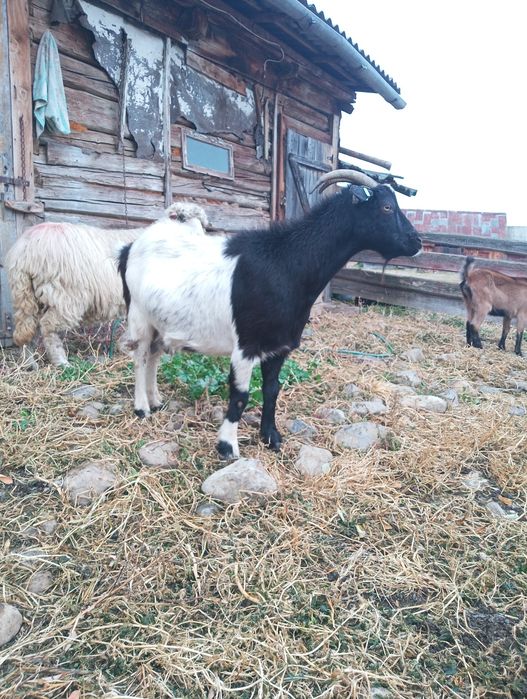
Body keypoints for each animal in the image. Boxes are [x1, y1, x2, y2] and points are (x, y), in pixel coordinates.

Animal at [5, 202, 208, 366]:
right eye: (182, 218)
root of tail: (26, 249)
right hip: (65, 296)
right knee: (49, 329)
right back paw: (62, 363)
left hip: (26, 293)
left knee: (27, 327)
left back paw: (29, 364)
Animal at [119, 170, 422, 459]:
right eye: (386, 207)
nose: (417, 241)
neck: (285, 264)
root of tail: (129, 248)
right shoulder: (246, 345)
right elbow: (240, 395)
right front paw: (227, 446)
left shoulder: (280, 346)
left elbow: (272, 390)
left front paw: (270, 437)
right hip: (138, 315)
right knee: (140, 357)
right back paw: (142, 408)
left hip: (160, 321)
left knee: (153, 356)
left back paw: (156, 400)